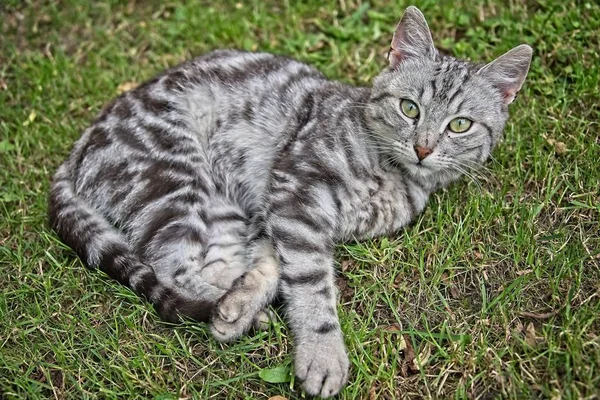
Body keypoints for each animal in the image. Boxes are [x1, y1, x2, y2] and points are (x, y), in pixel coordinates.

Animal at [49, 6, 532, 396]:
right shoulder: (297, 191)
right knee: (170, 266)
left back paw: (238, 309)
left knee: (213, 263)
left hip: (220, 209)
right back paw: (222, 308)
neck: (393, 176)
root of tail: (77, 148)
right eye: (410, 108)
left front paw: (245, 299)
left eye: (461, 124)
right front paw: (323, 353)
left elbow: (270, 264)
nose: (424, 148)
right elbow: (311, 283)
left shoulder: (275, 211)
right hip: (173, 180)